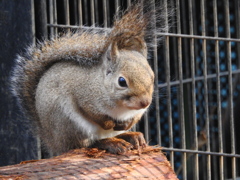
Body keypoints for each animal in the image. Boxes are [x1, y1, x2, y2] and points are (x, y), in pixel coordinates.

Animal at [11, 2, 168, 155]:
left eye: (152, 77)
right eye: (122, 81)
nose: (145, 102)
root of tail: (53, 142)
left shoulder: (138, 111)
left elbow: (135, 117)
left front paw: (127, 124)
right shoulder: (84, 97)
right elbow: (93, 113)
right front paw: (109, 123)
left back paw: (131, 136)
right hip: (71, 124)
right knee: (85, 144)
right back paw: (111, 143)